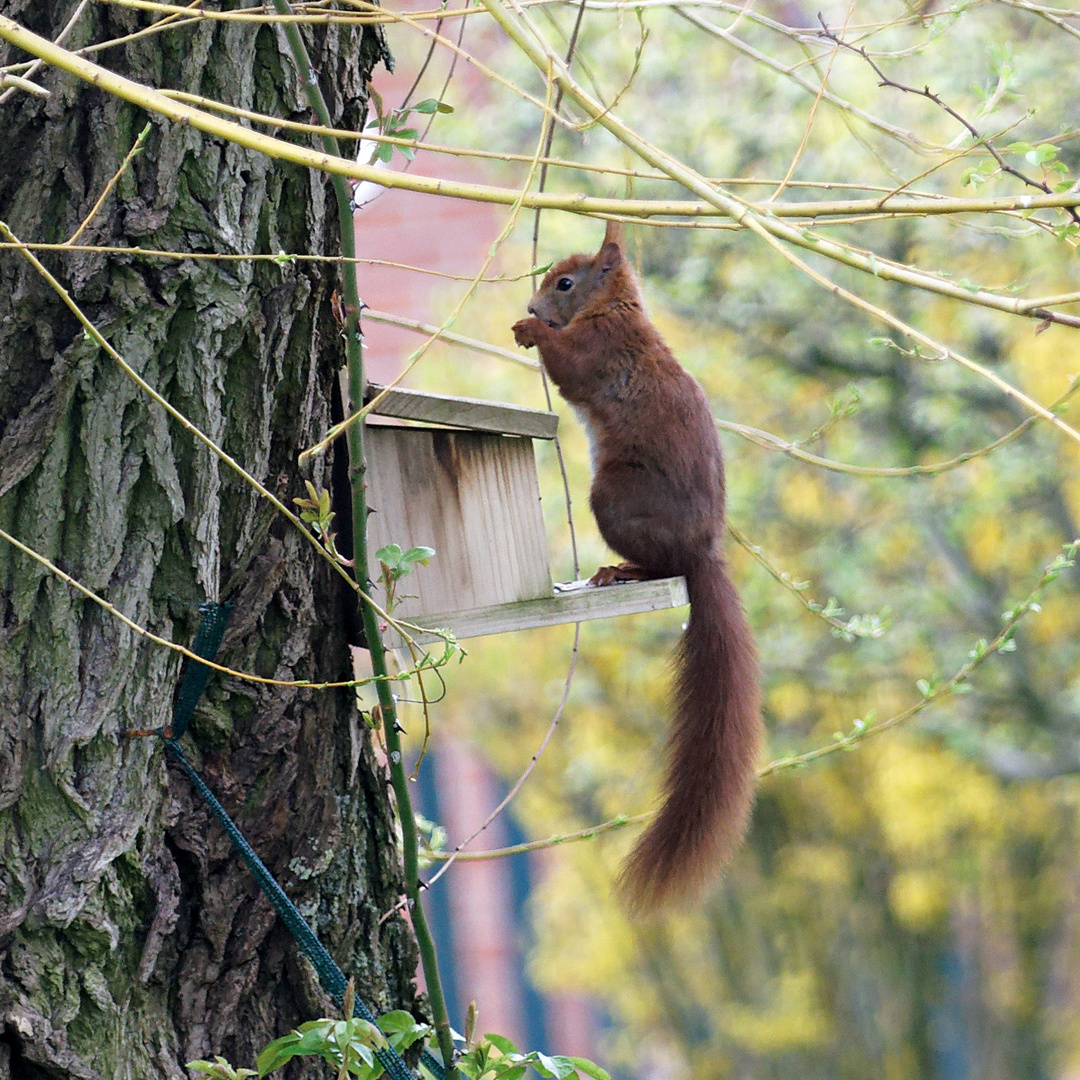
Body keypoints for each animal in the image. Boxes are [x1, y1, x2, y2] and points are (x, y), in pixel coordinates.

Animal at [511, 219, 760, 911]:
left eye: (565, 283)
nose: (534, 308)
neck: (614, 307)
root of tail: (701, 552)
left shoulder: (600, 348)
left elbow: (571, 368)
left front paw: (533, 335)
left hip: (614, 499)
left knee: (658, 567)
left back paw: (619, 574)